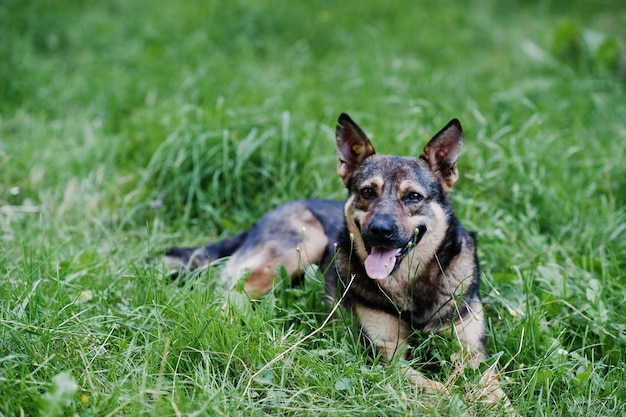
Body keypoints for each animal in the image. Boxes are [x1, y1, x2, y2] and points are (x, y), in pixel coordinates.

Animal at [163, 112, 510, 404]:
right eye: (367, 192)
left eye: (413, 196)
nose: (380, 231)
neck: (410, 283)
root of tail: (261, 219)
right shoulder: (388, 356)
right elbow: (437, 387)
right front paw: (459, 398)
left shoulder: (473, 353)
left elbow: (493, 389)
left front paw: (491, 402)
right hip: (301, 245)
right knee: (226, 296)